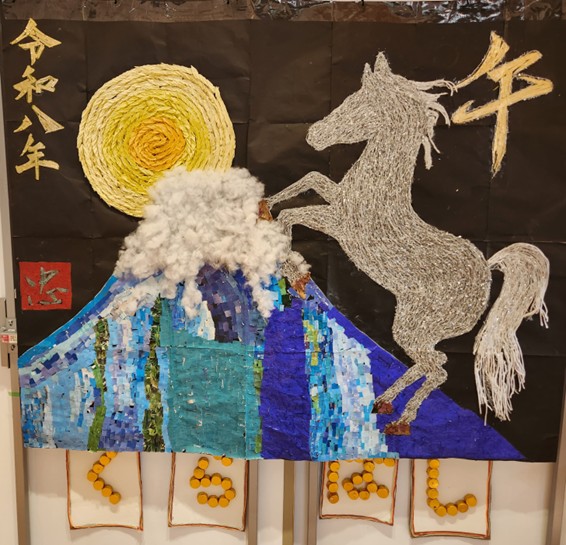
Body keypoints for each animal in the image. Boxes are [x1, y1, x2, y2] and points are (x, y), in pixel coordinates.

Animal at [266, 54, 549, 435]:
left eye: (361, 104)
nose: (314, 135)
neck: (376, 188)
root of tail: (489, 273)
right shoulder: (335, 198)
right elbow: (311, 178)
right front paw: (265, 203)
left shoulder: (338, 225)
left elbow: (292, 215)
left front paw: (294, 273)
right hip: (416, 330)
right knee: (432, 362)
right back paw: (383, 402)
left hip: (415, 327)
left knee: (438, 368)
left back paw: (401, 419)